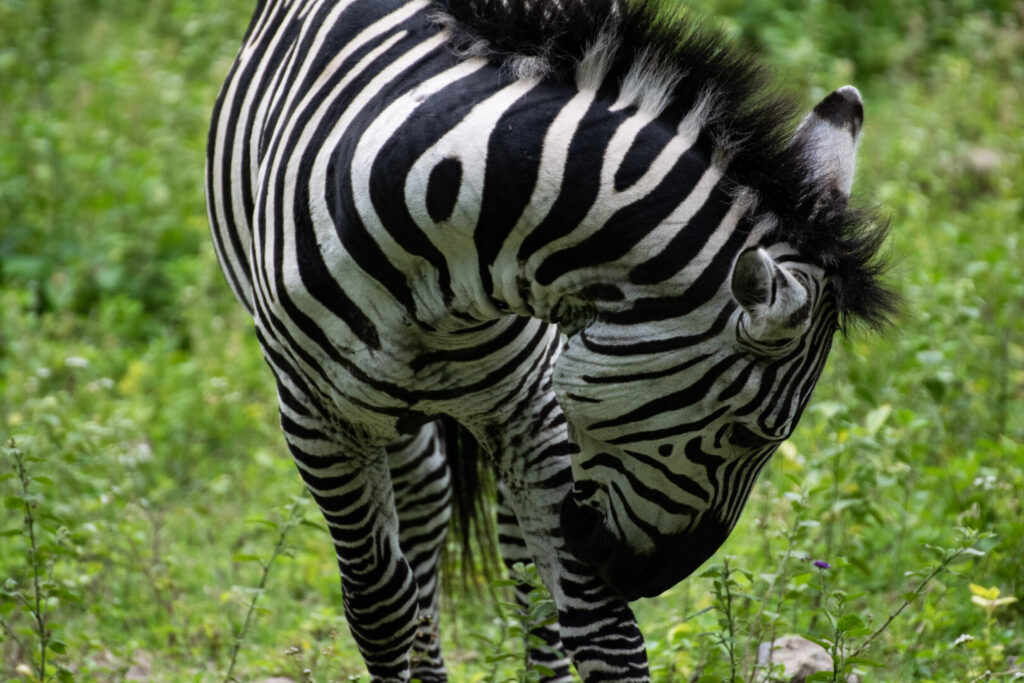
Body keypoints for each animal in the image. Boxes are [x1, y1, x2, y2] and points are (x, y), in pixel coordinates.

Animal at [205, 0, 897, 679]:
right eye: (751, 435)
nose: (651, 579)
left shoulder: (530, 409)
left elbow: (600, 630)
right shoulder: (318, 420)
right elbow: (379, 609)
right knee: (424, 511)